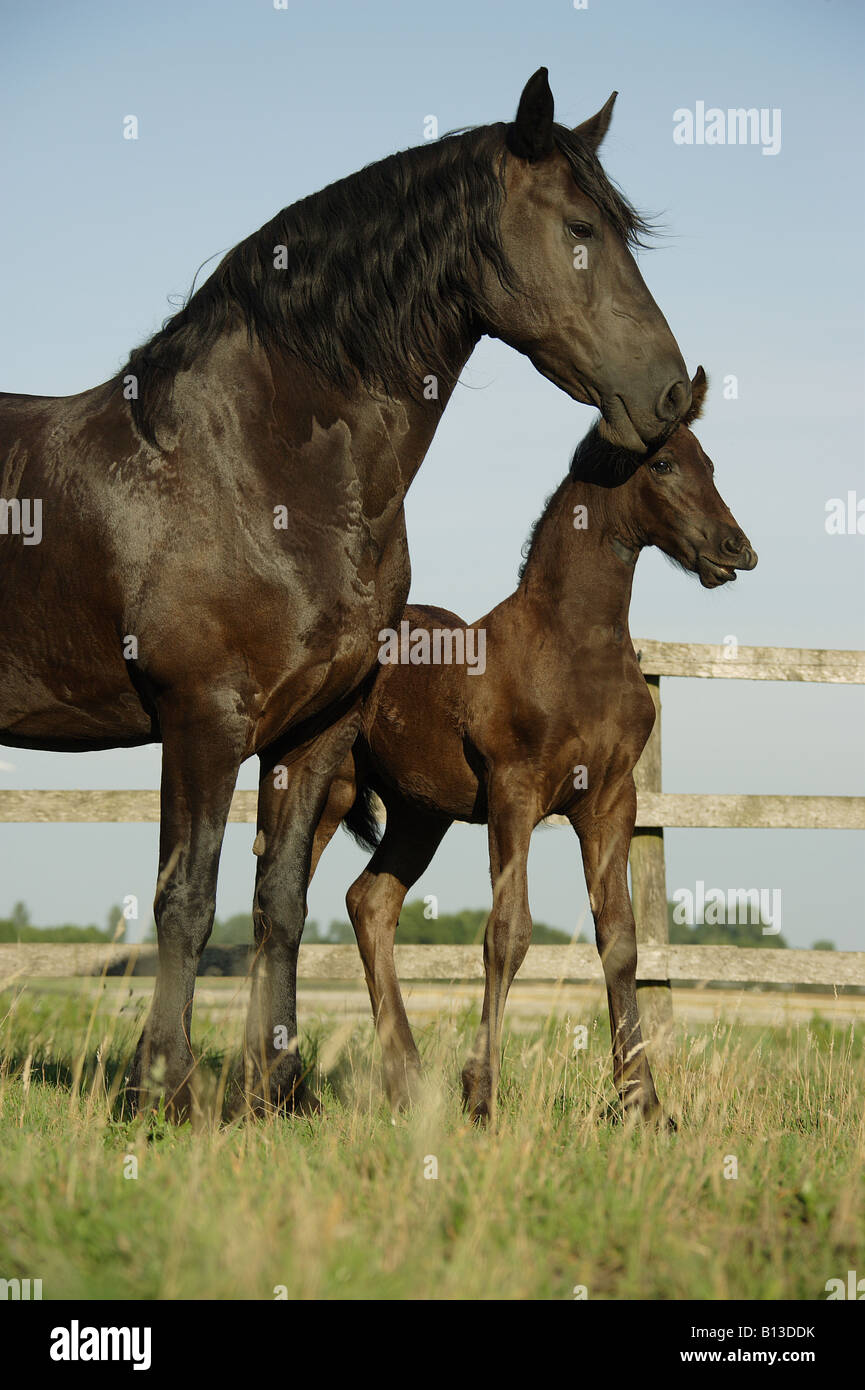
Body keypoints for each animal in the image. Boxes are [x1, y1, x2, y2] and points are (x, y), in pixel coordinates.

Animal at [312, 366, 756, 1117]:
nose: (738, 549)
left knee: (369, 904)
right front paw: (482, 1094)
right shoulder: (514, 791)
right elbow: (507, 933)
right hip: (328, 788)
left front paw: (643, 1104)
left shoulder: (611, 802)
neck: (574, 646)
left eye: (711, 464)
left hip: (420, 814)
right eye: (664, 464)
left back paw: (409, 1085)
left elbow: (620, 940)